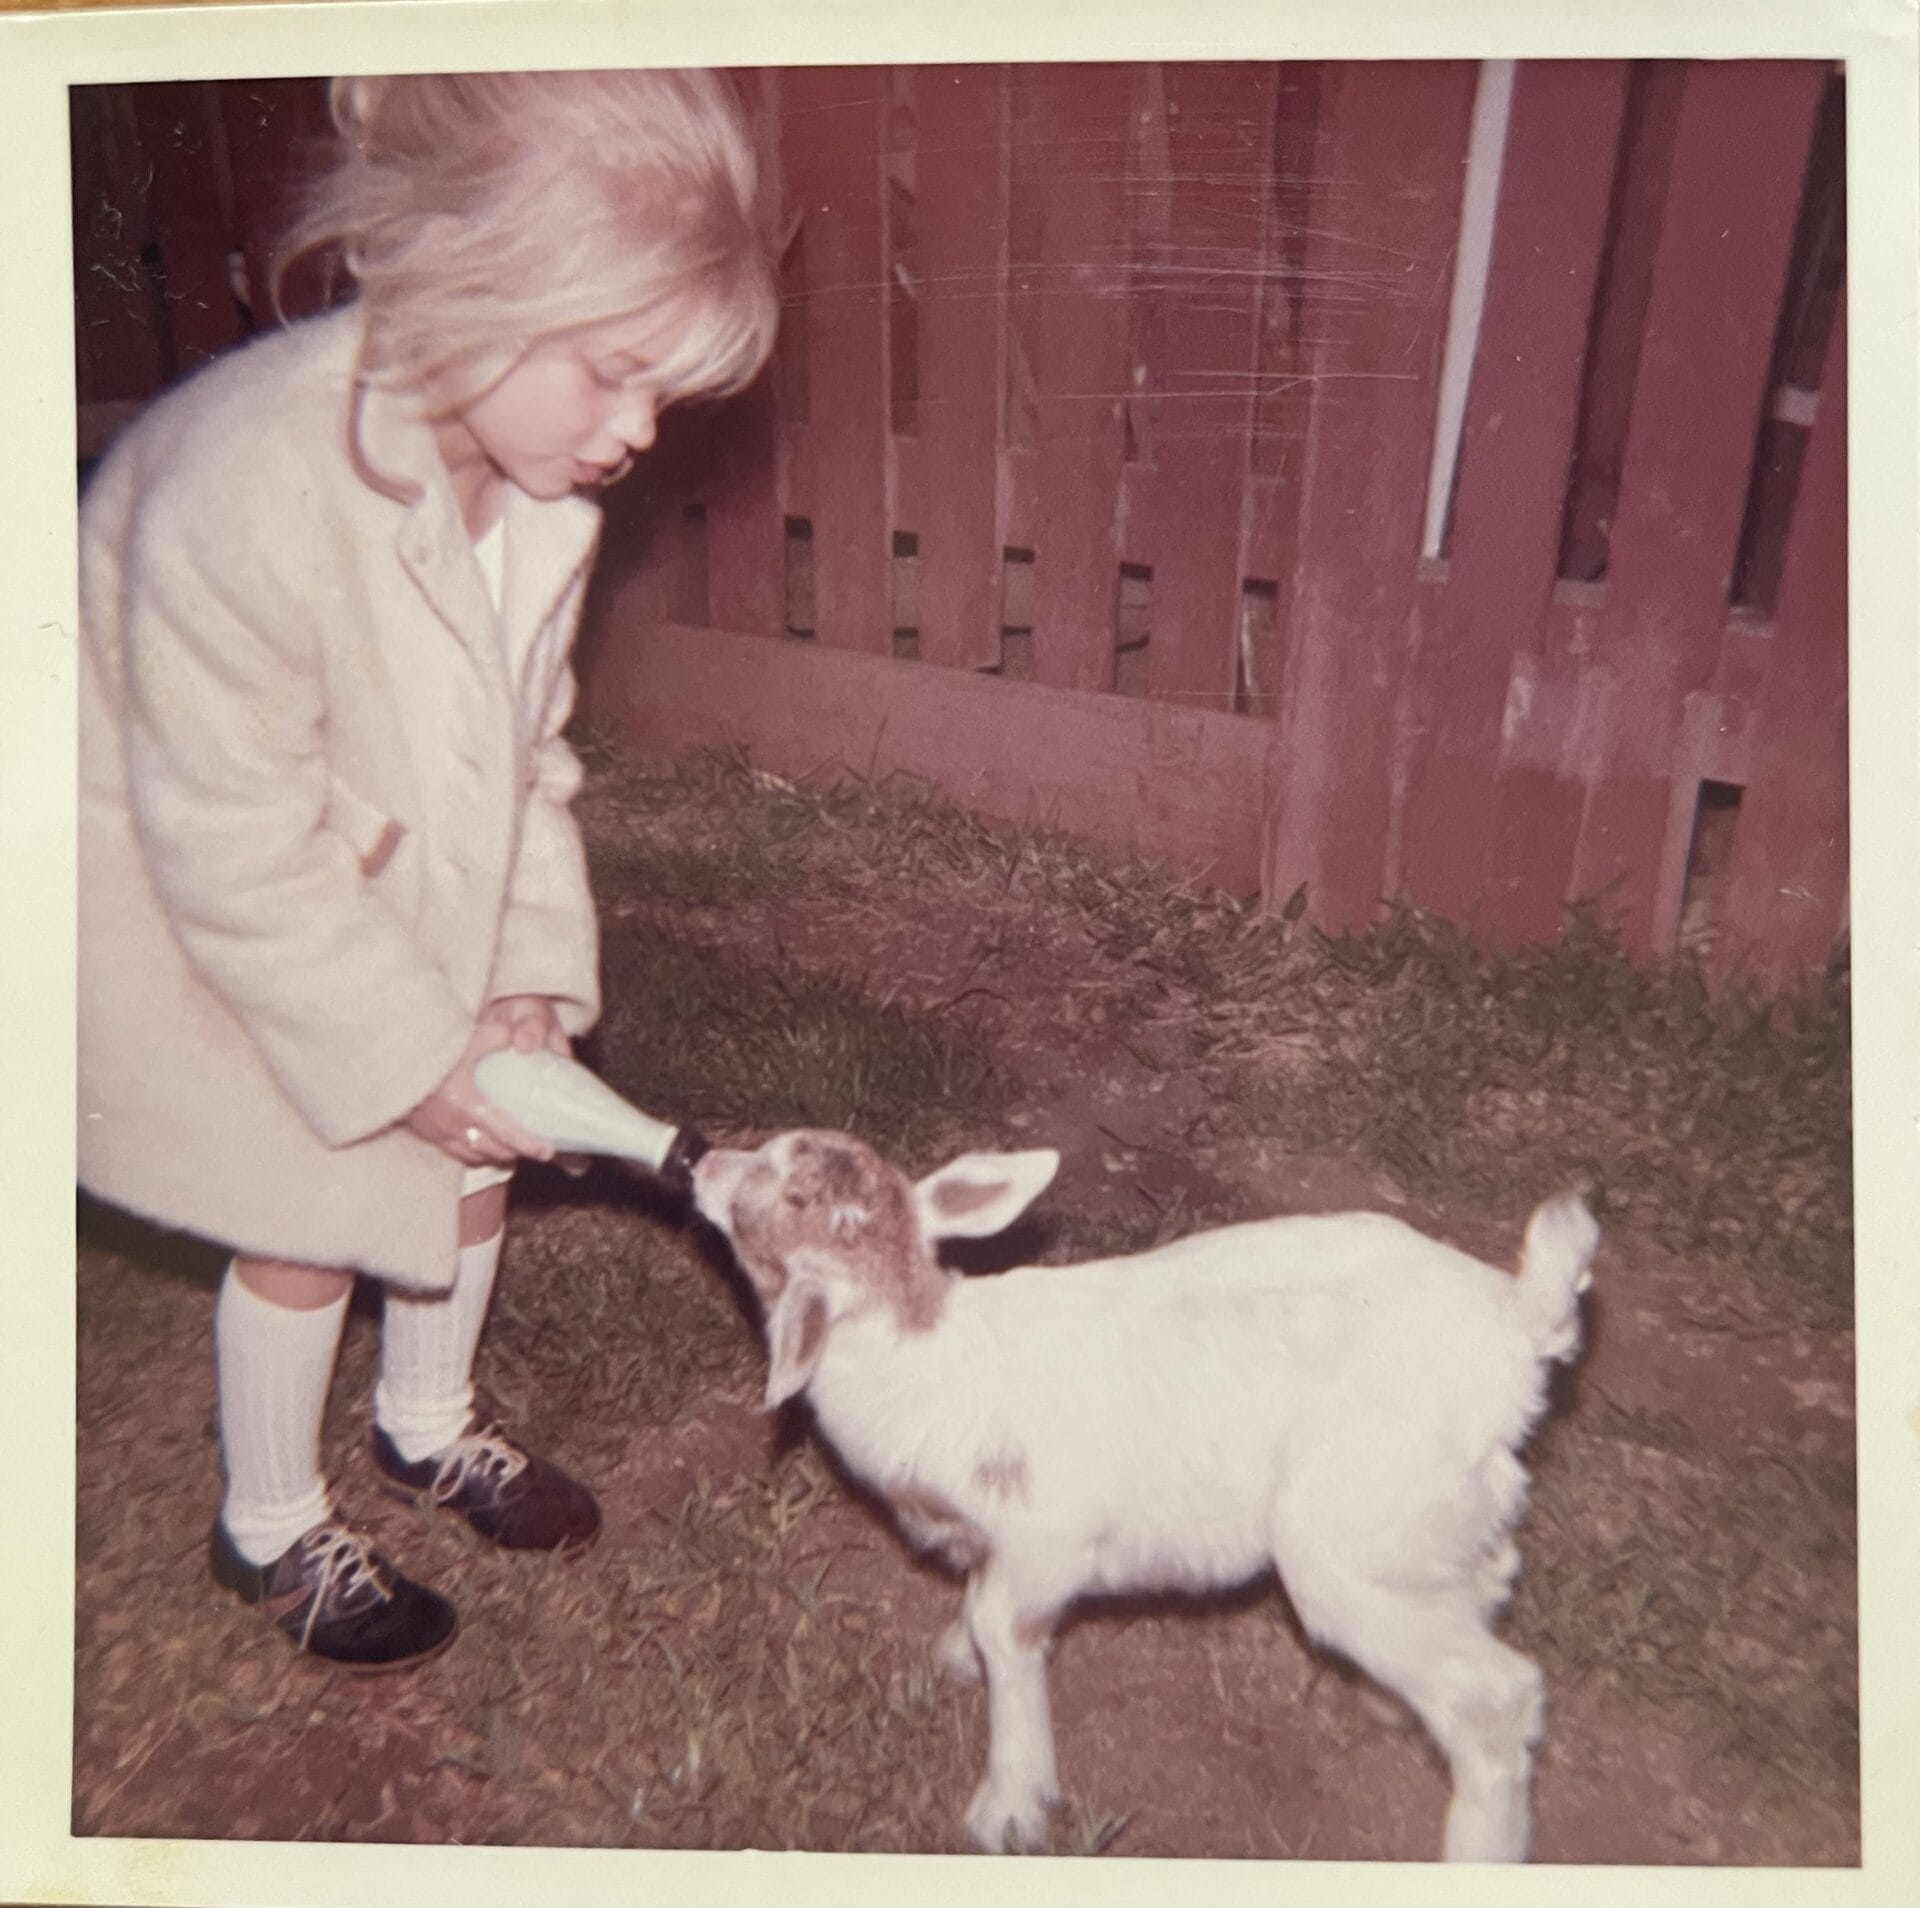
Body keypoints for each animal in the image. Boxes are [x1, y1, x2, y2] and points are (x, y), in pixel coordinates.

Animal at [691, 1120, 1589, 1850]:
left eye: (780, 1198)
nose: (700, 1161)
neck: (919, 1345)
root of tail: (1518, 1327)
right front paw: (953, 1659)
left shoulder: (1042, 1542)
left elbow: (1003, 1632)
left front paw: (1010, 1809)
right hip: (1423, 1512)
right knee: (1487, 1575)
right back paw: (1393, 1702)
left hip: (1350, 1533)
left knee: (1496, 1703)